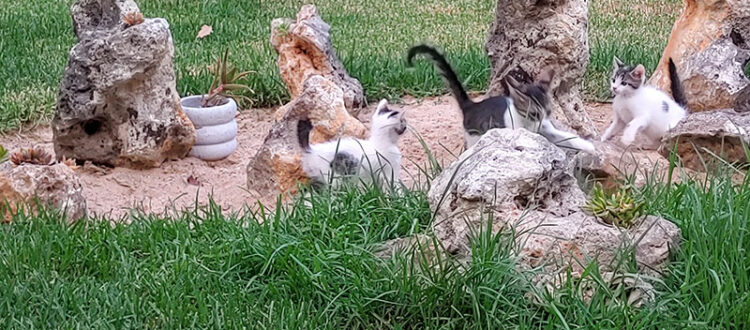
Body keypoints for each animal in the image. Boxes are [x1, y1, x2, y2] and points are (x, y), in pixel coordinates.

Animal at [408, 43, 596, 154]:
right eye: (534, 114)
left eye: (549, 112)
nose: (542, 121)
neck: (530, 124)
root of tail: (471, 105)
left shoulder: (546, 128)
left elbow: (567, 137)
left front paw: (588, 146)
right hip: (475, 136)